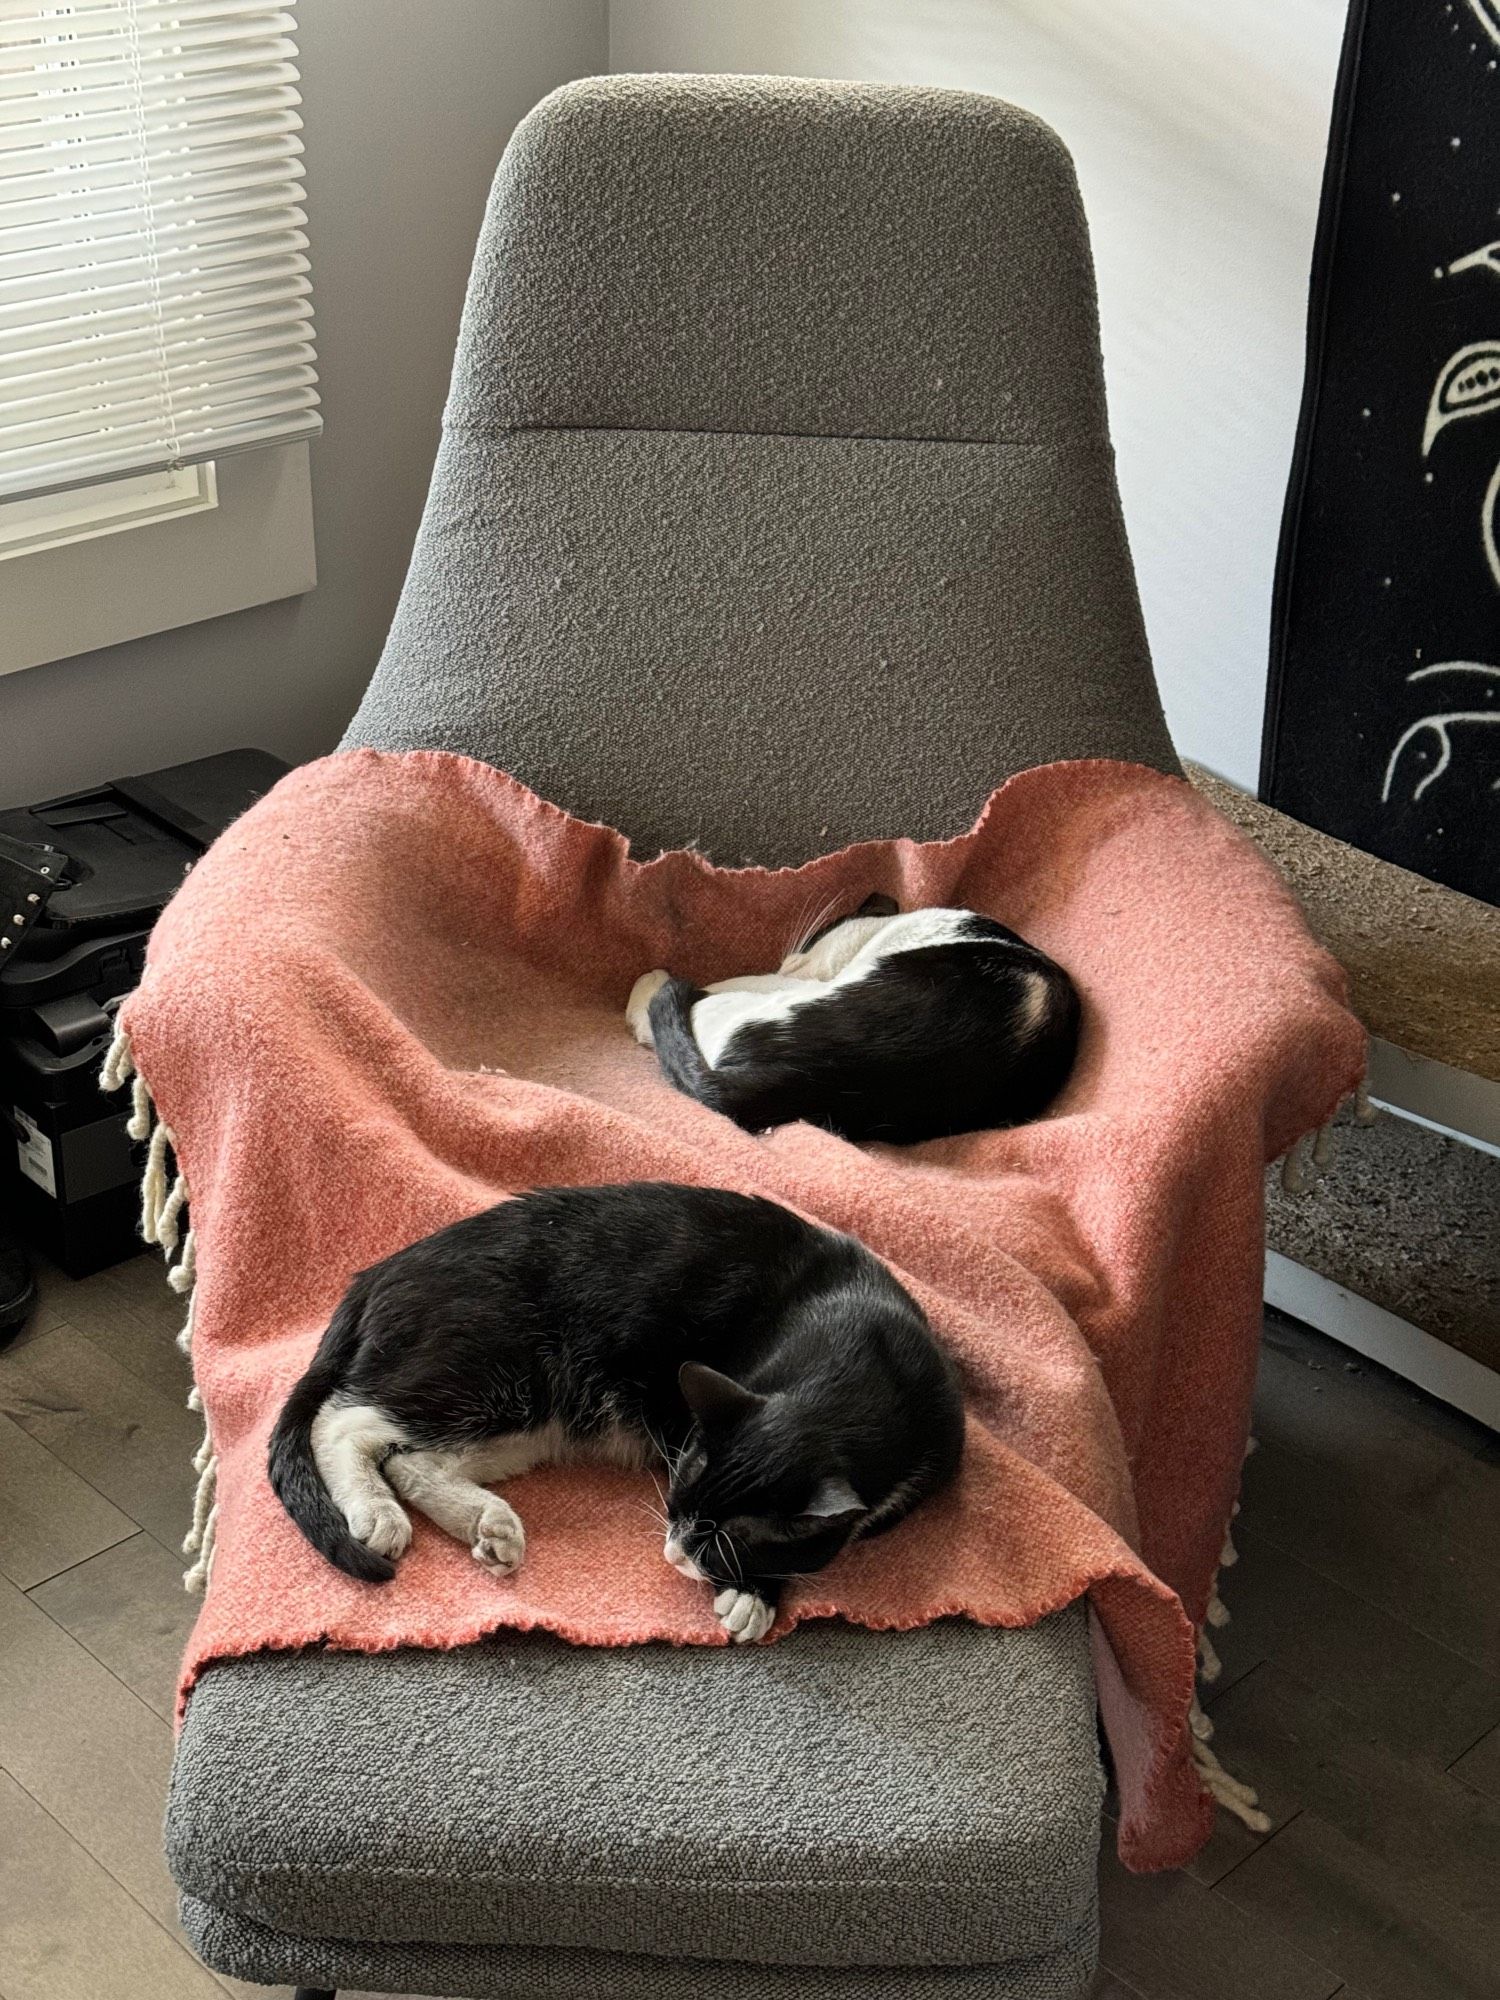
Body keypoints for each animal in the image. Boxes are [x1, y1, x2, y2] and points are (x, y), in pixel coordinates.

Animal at [268, 1184, 964, 1640]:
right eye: (681, 1490)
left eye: (732, 1539)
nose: (674, 1555)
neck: (866, 1356)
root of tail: (377, 1272)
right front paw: (755, 1596)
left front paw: (754, 1586)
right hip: (498, 1365)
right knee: (345, 1419)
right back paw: (376, 1512)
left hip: (540, 1415)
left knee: (414, 1459)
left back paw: (488, 1525)